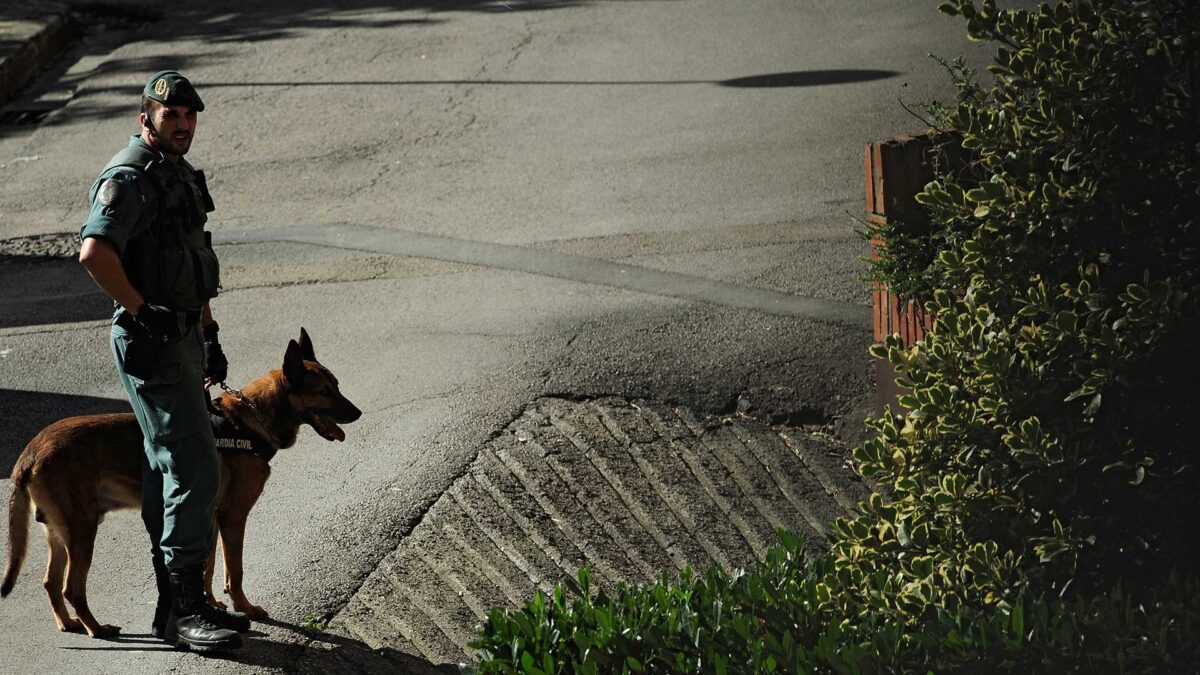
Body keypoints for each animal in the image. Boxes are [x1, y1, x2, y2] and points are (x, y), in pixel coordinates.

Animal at [2, 329, 357, 634]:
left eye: (338, 386)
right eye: (325, 392)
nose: (358, 413)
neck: (246, 423)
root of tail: (30, 452)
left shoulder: (207, 516)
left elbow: (207, 566)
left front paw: (212, 605)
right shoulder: (233, 517)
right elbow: (235, 569)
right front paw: (244, 607)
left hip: (61, 533)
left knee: (50, 582)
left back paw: (69, 624)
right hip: (82, 532)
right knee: (71, 588)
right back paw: (97, 629)